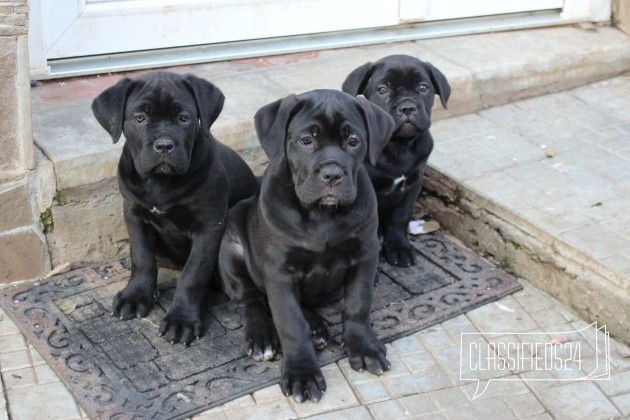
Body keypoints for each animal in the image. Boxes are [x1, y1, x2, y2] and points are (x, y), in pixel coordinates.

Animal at [90, 71, 258, 344]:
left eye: (184, 118)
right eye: (140, 118)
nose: (164, 145)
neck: (160, 182)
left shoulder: (209, 226)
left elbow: (192, 274)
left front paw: (182, 319)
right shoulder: (134, 214)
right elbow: (141, 257)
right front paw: (135, 296)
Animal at [220, 90, 392, 402]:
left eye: (353, 141)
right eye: (306, 141)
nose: (332, 174)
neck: (322, 215)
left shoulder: (365, 255)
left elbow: (358, 305)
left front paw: (365, 347)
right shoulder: (279, 271)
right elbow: (290, 322)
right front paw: (302, 373)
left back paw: (315, 328)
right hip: (231, 248)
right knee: (252, 300)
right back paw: (263, 336)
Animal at [344, 54, 452, 268]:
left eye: (423, 87)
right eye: (382, 90)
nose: (407, 107)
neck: (397, 146)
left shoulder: (413, 183)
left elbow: (400, 217)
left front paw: (400, 247)